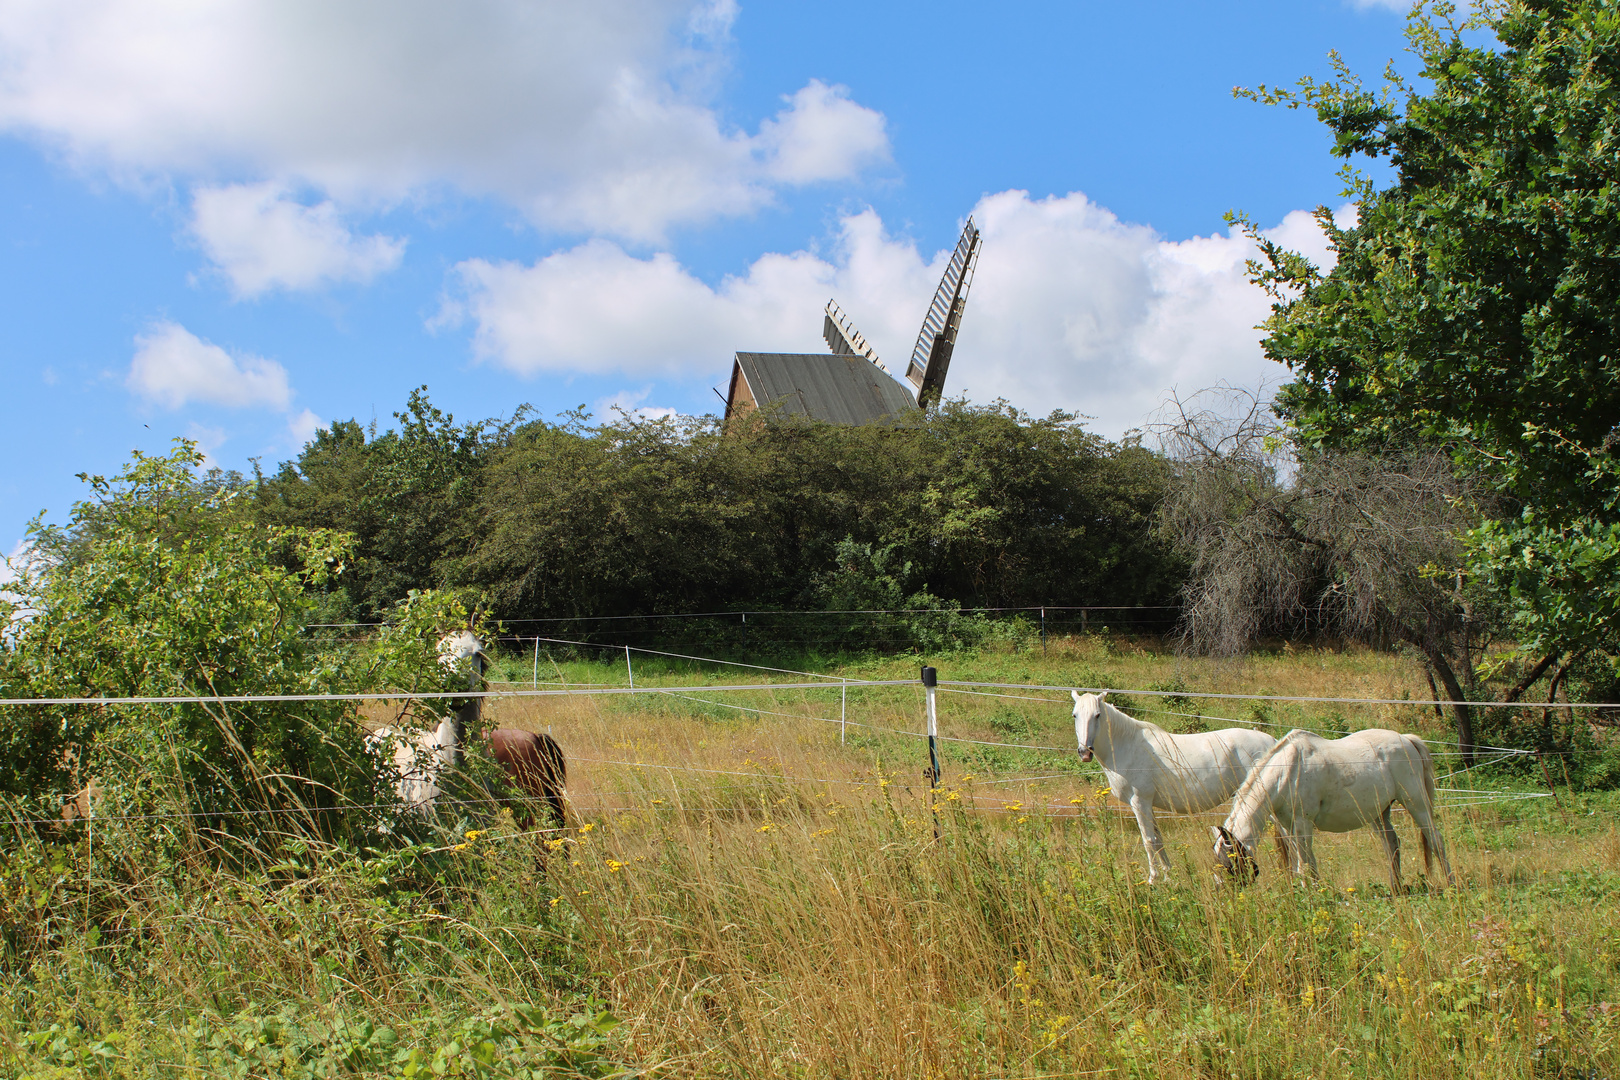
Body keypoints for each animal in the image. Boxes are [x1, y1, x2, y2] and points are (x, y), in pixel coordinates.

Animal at [1075, 696, 1276, 880]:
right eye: (1075, 715)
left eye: (1097, 715)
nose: (1084, 752)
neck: (1127, 745)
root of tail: (1271, 741)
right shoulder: (1148, 805)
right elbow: (1158, 840)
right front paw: (1168, 875)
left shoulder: (1140, 802)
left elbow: (1148, 841)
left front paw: (1153, 879)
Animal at [1218, 725, 1458, 893]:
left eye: (1229, 862)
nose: (1224, 891)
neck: (1287, 771)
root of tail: (1407, 739)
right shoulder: (1289, 826)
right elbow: (1302, 860)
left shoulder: (1303, 823)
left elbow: (1304, 862)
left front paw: (1309, 893)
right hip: (1379, 812)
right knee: (1392, 843)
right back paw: (1396, 888)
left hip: (1416, 803)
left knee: (1435, 840)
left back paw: (1451, 884)